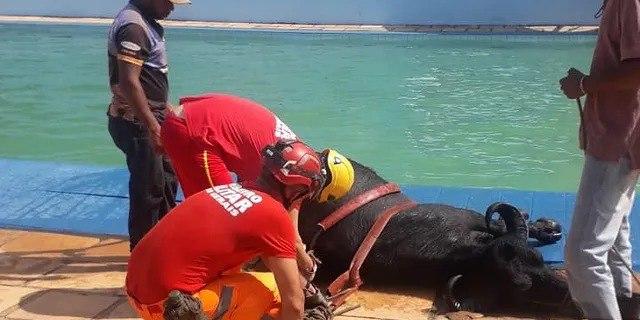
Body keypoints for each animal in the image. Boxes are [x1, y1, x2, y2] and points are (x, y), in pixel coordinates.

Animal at [298, 159, 584, 316]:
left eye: (538, 258)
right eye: (521, 286)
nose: (572, 296)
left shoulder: (472, 217)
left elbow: (500, 224)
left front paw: (543, 227)